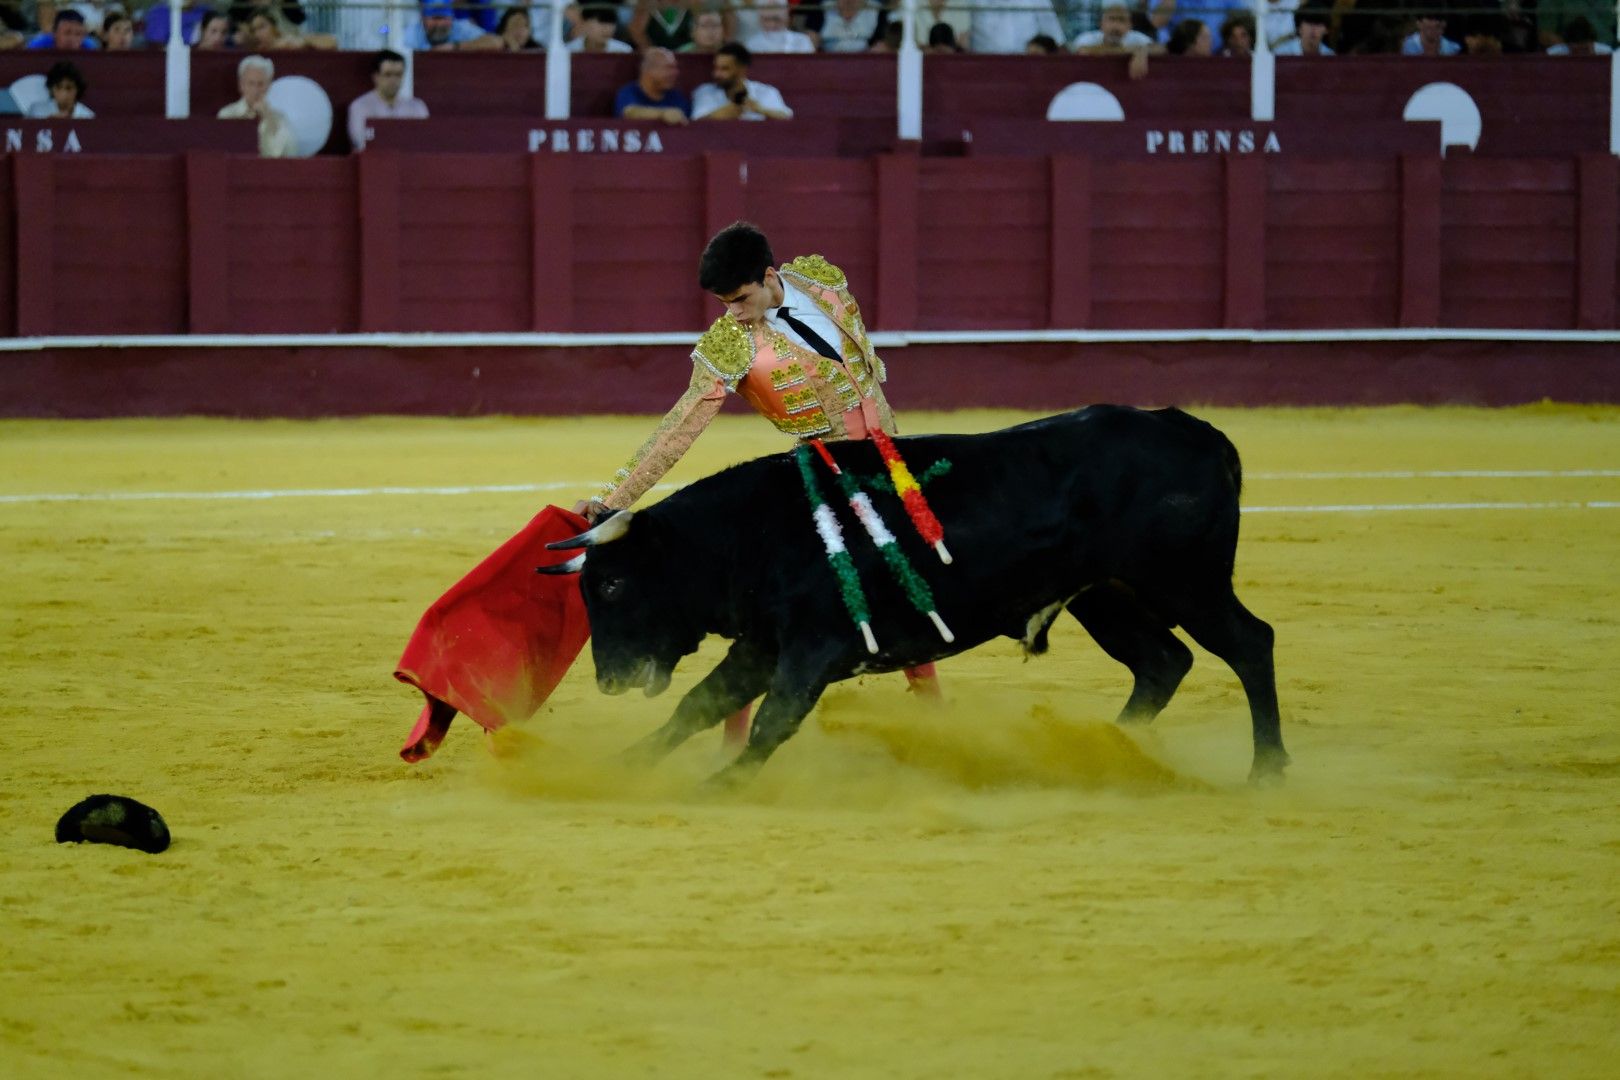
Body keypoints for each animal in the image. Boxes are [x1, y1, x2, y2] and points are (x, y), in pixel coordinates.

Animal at [544, 404, 1289, 786]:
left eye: (612, 583)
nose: (608, 680)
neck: (751, 534)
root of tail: (1195, 429)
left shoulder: (815, 646)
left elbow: (771, 719)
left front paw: (718, 787)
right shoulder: (763, 644)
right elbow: (700, 706)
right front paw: (624, 767)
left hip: (1185, 582)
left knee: (1249, 643)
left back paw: (1267, 772)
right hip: (1104, 596)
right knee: (1162, 662)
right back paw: (1105, 751)